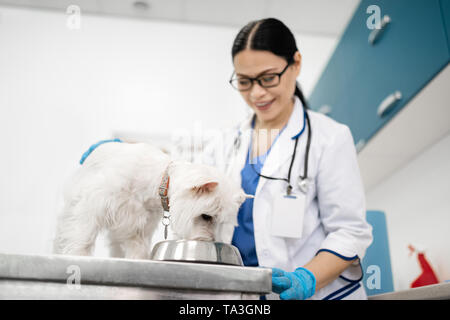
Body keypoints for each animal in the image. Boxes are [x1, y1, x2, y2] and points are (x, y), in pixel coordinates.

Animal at [55, 142, 250, 260]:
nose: (210, 241)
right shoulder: (92, 206)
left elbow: (138, 250)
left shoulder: (138, 228)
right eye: (206, 216)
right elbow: (84, 236)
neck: (159, 181)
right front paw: (78, 255)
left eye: (221, 222)